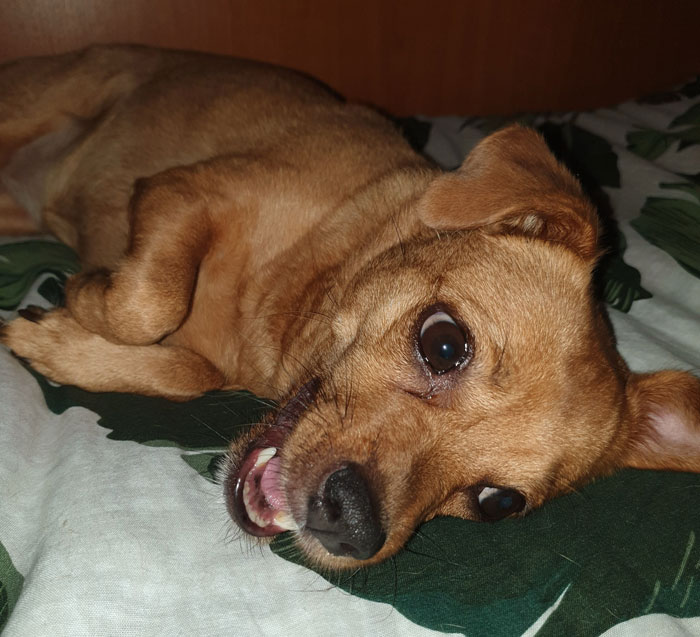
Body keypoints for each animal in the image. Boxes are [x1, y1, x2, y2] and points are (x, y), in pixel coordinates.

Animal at [1, 47, 700, 568]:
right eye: (444, 343)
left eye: (498, 503)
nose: (351, 529)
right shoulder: (186, 192)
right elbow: (149, 303)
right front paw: (80, 299)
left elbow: (188, 368)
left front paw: (62, 341)